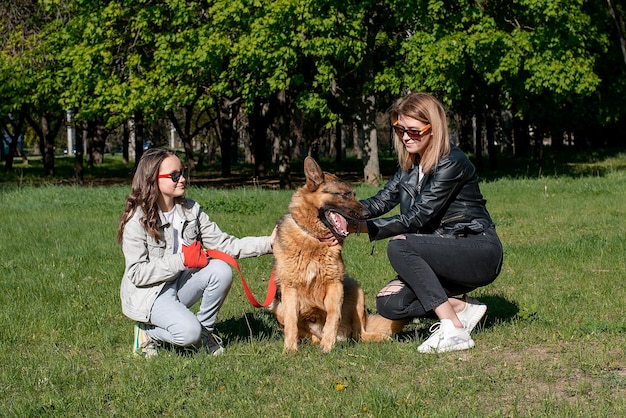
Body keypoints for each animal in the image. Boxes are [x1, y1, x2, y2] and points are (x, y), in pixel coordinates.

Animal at [268, 157, 404, 352]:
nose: (367, 214)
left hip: (355, 289)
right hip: (277, 305)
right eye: (345, 195)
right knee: (308, 334)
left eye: (354, 194)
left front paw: (327, 344)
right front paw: (290, 350)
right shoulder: (290, 289)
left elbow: (333, 314)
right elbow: (292, 321)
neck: (315, 239)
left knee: (360, 334)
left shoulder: (335, 285)